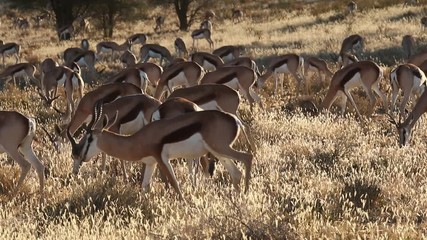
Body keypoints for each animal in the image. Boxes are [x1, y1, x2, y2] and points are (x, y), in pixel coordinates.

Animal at [68, 103, 252, 199]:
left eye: (89, 138)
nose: (80, 156)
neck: (139, 139)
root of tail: (234, 119)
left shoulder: (161, 158)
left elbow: (175, 184)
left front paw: (185, 204)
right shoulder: (151, 163)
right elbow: (144, 186)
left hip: (221, 148)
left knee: (247, 157)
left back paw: (246, 195)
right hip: (220, 153)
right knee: (236, 173)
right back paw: (238, 198)